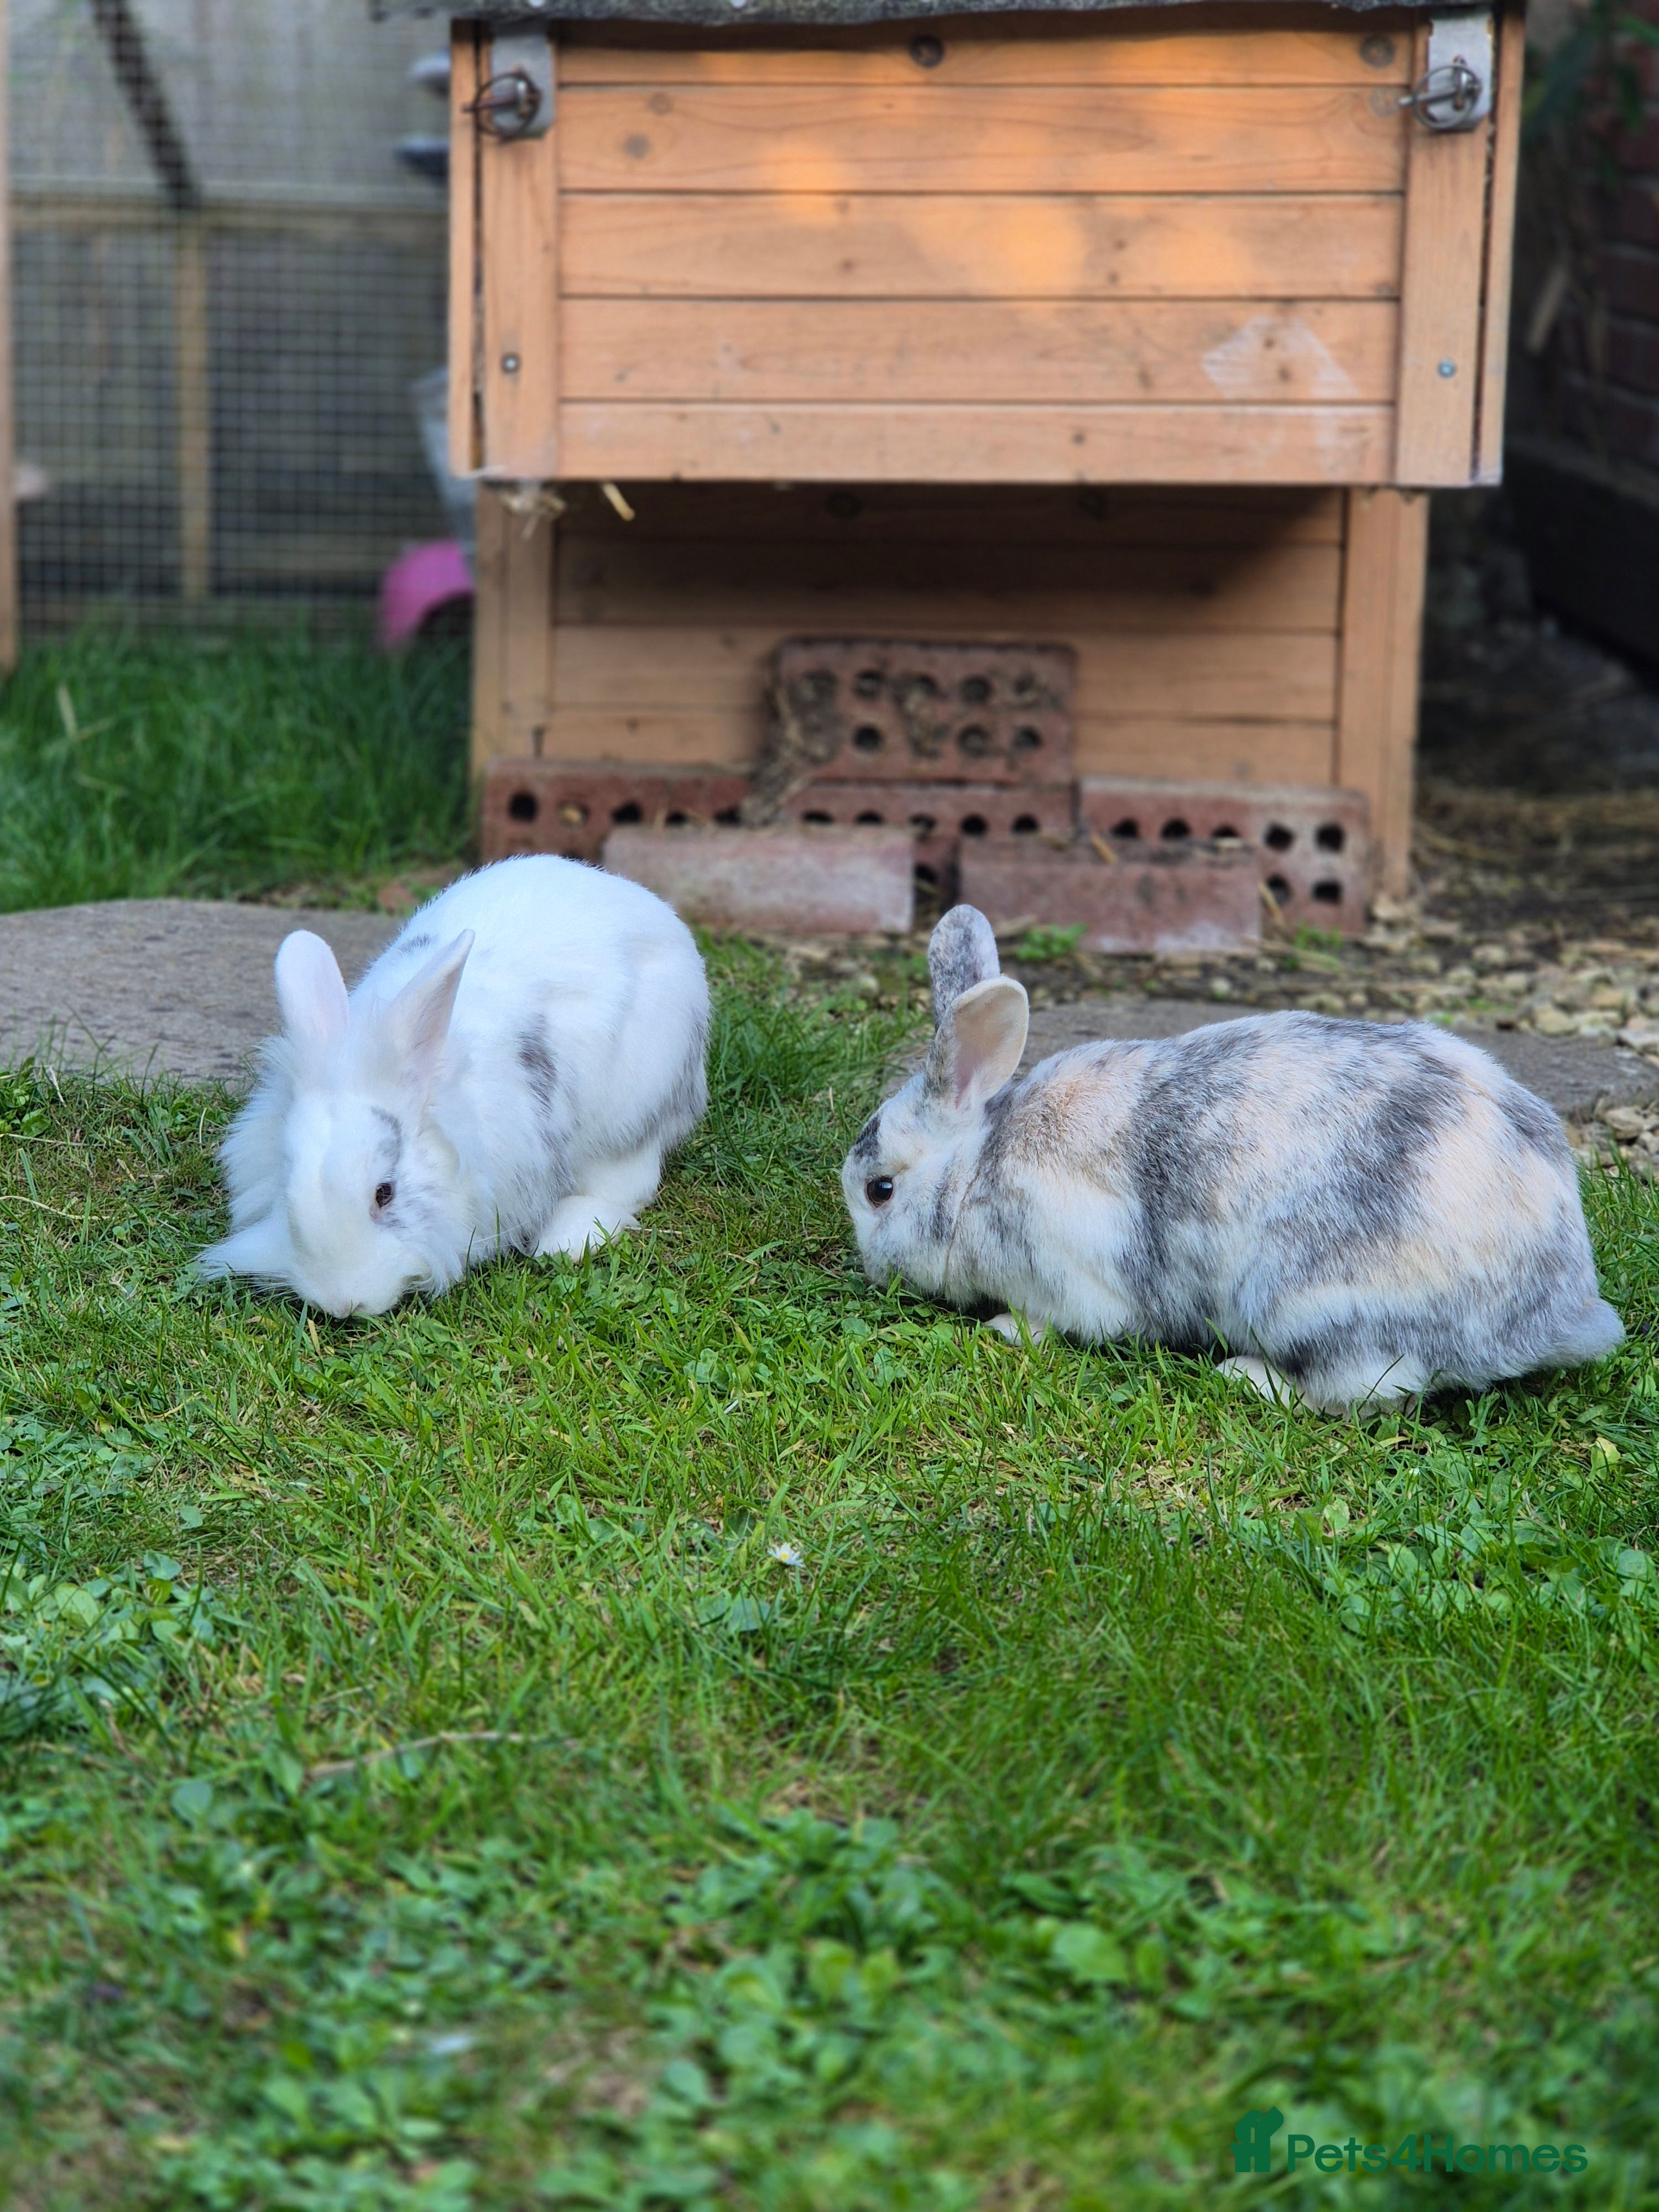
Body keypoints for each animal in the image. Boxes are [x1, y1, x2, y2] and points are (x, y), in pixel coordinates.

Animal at [841, 905, 1623, 1413]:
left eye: (880, 1190)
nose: (871, 1270)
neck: (976, 1170)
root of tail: (1555, 1307)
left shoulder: (1075, 1277)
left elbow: (1054, 1322)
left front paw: (1005, 1330)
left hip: (1312, 1306)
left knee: (1362, 1387)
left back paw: (1244, 1376)